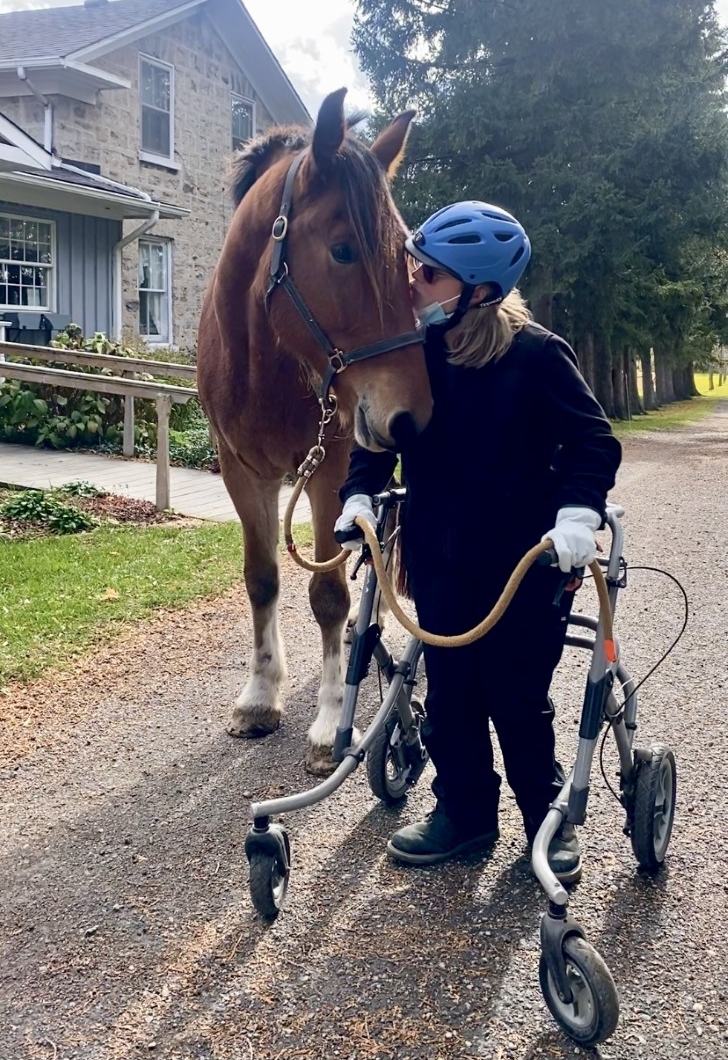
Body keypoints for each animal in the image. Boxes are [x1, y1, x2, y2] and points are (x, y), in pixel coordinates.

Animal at [196, 89, 432, 771]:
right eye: (343, 249)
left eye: (406, 255)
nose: (411, 413)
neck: (263, 365)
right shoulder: (242, 471)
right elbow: (263, 579)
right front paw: (258, 696)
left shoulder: (329, 469)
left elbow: (326, 592)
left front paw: (331, 724)